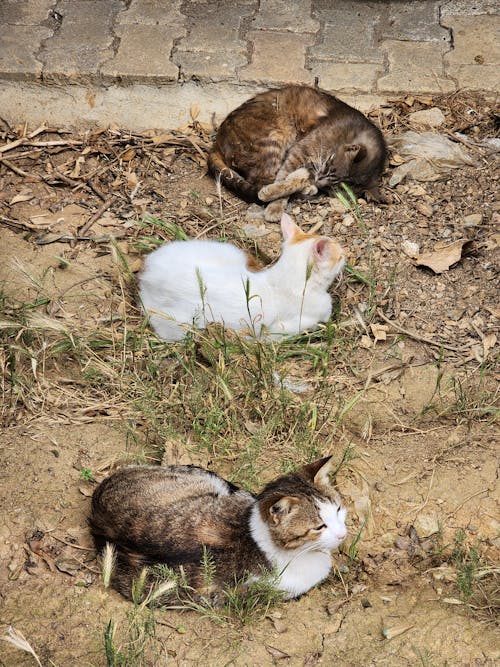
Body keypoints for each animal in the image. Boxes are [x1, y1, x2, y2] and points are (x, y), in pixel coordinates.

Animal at [207, 85, 386, 220]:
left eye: (334, 187)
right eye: (330, 168)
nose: (319, 183)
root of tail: (217, 142)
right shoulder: (299, 151)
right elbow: (284, 180)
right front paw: (275, 206)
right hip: (274, 140)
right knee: (259, 183)